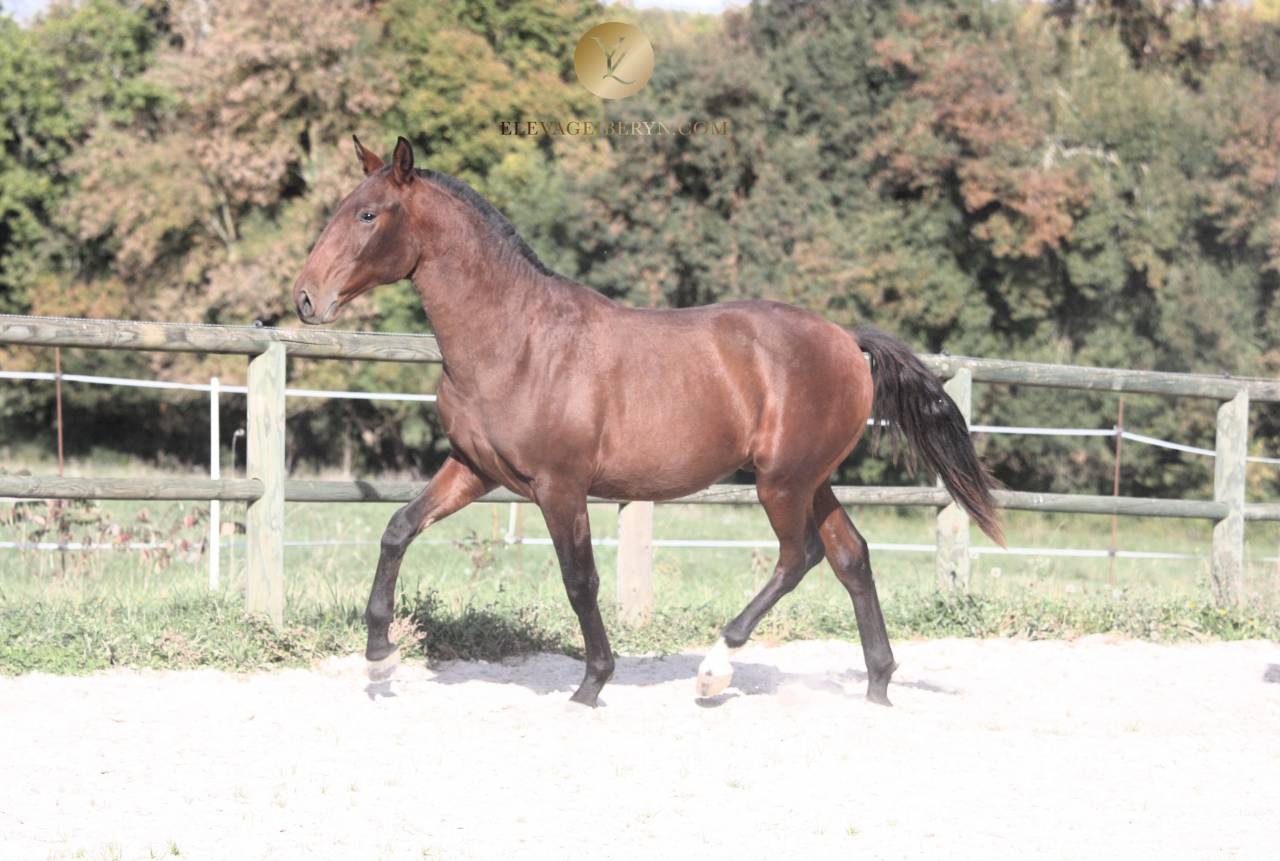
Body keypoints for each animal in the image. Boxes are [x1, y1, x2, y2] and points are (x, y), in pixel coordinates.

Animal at [292, 136, 1004, 707]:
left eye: (367, 214)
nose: (305, 298)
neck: (515, 340)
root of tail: (846, 340)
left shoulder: (560, 486)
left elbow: (580, 580)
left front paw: (592, 683)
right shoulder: (473, 471)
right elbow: (397, 529)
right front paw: (379, 661)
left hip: (781, 482)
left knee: (798, 557)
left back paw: (716, 670)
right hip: (811, 479)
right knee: (850, 556)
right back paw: (878, 684)